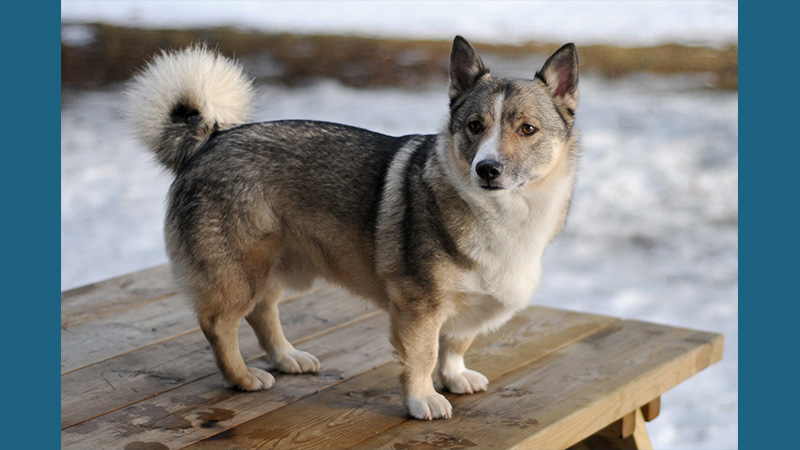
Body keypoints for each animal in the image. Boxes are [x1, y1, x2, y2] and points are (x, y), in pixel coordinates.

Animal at [125, 37, 580, 420]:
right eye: (474, 126)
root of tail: (210, 140)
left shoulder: (460, 308)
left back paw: (286, 357)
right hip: (240, 272)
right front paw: (422, 399)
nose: (486, 169)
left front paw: (454, 377)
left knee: (262, 312)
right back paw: (243, 378)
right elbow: (423, 356)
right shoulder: (419, 307)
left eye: (527, 129)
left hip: (272, 266)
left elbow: (455, 343)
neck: (504, 212)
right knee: (220, 324)